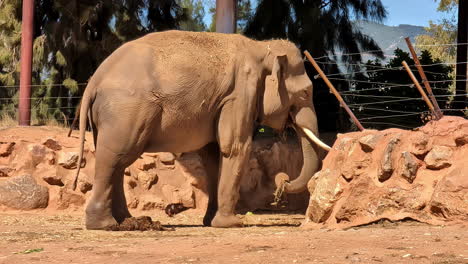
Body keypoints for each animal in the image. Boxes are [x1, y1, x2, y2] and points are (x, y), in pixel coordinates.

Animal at [74, 29, 330, 230]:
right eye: (305, 92)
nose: (282, 182)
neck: (261, 47)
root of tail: (94, 80)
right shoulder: (240, 93)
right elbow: (235, 148)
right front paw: (232, 223)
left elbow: (213, 155)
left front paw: (211, 221)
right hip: (126, 111)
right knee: (115, 157)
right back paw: (105, 225)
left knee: (117, 161)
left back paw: (129, 222)